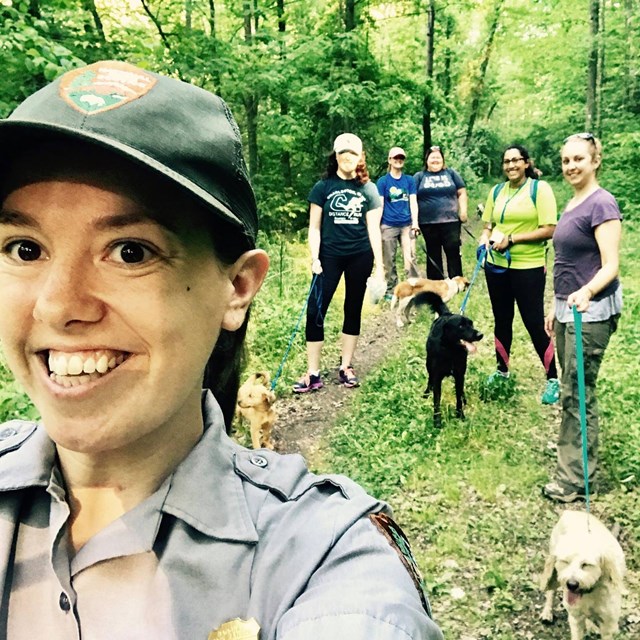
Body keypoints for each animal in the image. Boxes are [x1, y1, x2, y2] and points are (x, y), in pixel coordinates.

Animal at [412, 292, 482, 428]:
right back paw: (426, 393)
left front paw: (460, 415)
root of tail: (445, 314)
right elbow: (436, 401)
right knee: (429, 379)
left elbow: (458, 397)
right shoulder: (437, 378)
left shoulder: (459, 375)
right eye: (461, 326)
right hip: (428, 365)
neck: (451, 351)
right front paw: (437, 422)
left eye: (471, 324)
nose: (480, 335)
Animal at [540, 510, 624, 640]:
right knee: (551, 592)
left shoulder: (608, 625)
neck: (590, 592)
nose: (571, 584)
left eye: (586, 564)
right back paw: (547, 612)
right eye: (565, 562)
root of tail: (571, 512)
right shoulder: (575, 618)